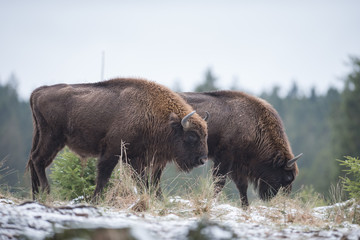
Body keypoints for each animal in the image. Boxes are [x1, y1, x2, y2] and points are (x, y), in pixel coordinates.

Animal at [27, 78, 208, 200]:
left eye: (205, 134)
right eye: (191, 135)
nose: (203, 159)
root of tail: (38, 92)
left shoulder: (135, 158)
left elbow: (142, 180)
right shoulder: (112, 152)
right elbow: (104, 176)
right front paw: (95, 200)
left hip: (47, 138)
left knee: (34, 160)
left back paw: (36, 195)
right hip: (52, 138)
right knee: (38, 160)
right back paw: (46, 192)